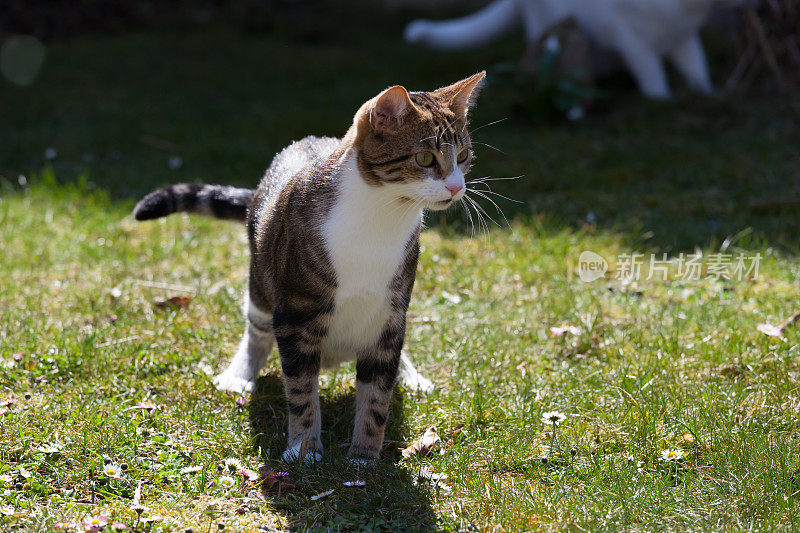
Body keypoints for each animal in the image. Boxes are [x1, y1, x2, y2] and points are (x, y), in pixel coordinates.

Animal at [134, 71, 484, 462]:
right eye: (425, 158)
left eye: (464, 156)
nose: (457, 188)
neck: (379, 218)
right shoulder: (295, 316)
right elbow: (301, 390)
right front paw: (304, 448)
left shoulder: (390, 312)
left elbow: (377, 394)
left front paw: (364, 456)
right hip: (262, 280)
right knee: (257, 326)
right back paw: (239, 373)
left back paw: (409, 375)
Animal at [410, 0, 748, 97]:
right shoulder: (631, 39)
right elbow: (651, 71)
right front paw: (660, 98)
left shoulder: (683, 38)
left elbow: (697, 66)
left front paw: (706, 92)